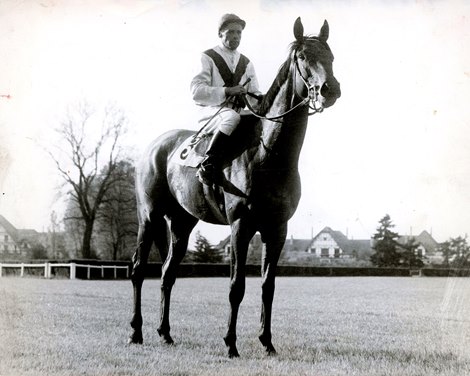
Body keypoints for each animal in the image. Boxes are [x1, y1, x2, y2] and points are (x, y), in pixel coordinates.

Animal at [129, 18, 342, 358]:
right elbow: (236, 286)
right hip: (148, 217)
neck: (269, 154)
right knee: (138, 270)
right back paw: (136, 332)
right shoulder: (240, 226)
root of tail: (155, 147)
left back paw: (165, 333)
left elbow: (268, 287)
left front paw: (267, 342)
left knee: (167, 274)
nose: (329, 89)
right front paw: (231, 343)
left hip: (182, 223)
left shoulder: (276, 229)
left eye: (331, 56)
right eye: (303, 57)